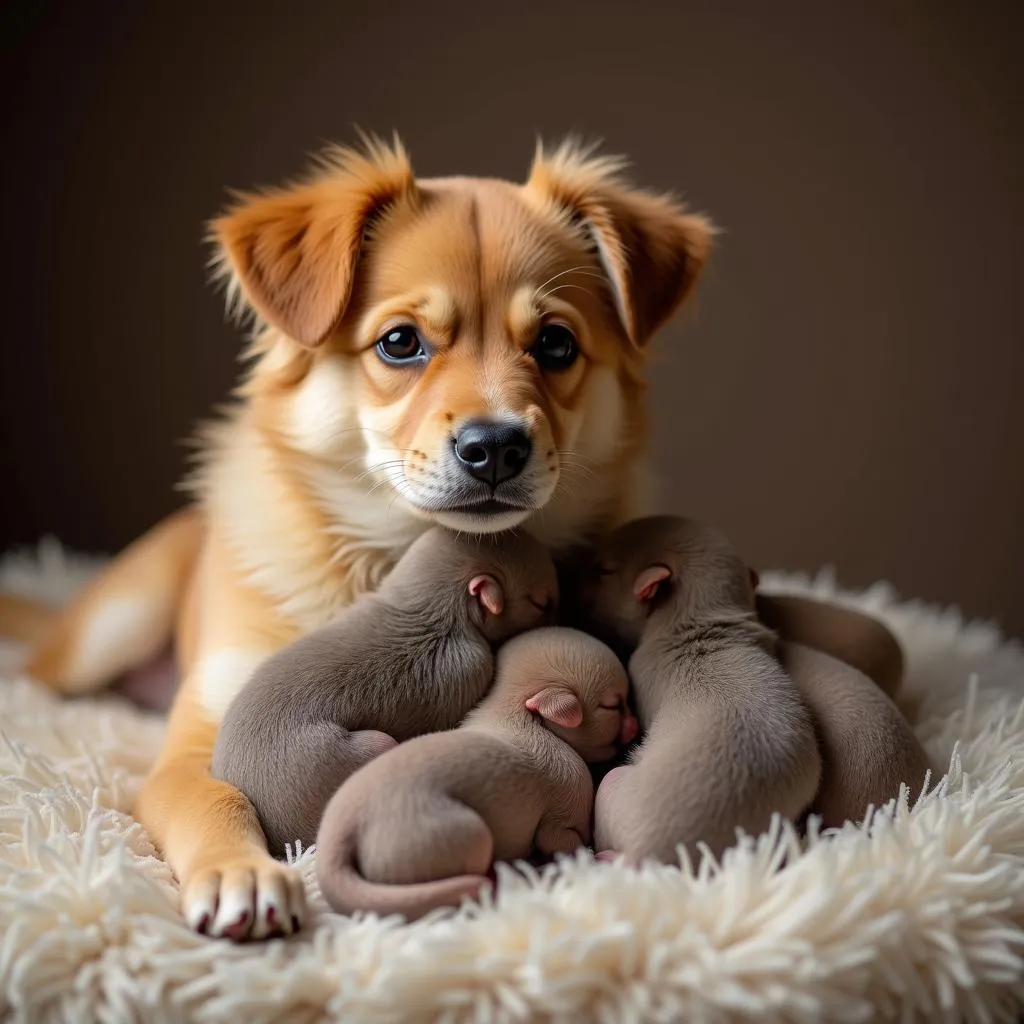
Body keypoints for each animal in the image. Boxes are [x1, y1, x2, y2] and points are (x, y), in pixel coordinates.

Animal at [315, 626, 630, 925]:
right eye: (613, 706)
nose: (635, 723)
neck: (519, 711)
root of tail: (338, 831)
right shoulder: (562, 814)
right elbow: (565, 844)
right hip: (460, 834)